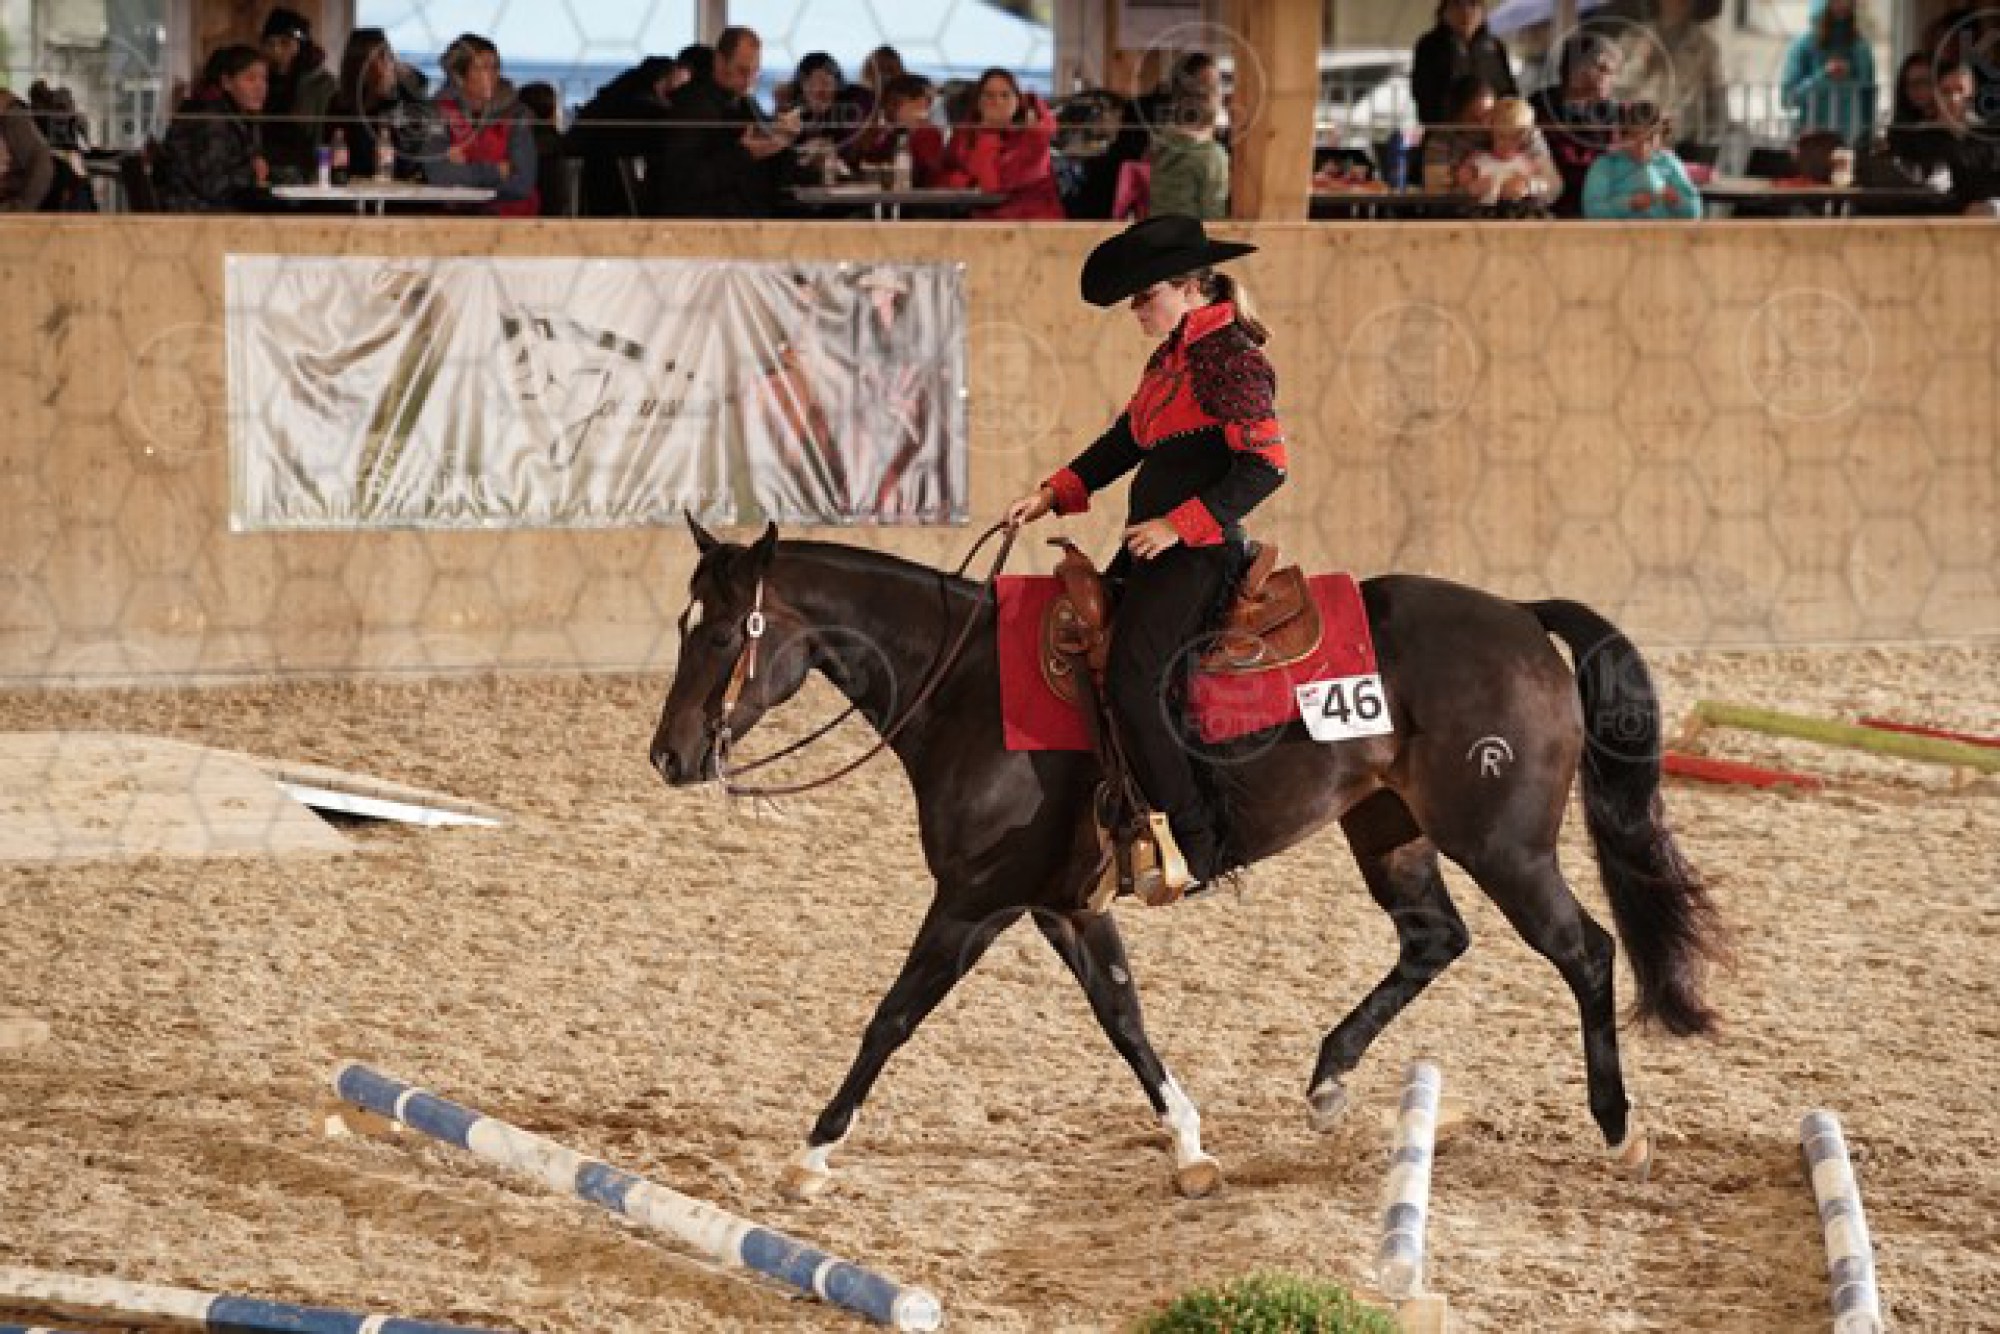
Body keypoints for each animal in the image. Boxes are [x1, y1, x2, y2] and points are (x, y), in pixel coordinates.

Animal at [649, 519, 1726, 1199]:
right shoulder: (1064, 905)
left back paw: (1621, 1128)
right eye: (681, 622)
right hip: (1388, 829)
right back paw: (1328, 1080)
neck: (962, 687)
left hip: (1500, 843)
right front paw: (1190, 1147)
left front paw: (812, 1153)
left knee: (1585, 951)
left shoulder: (972, 900)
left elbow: (892, 1017)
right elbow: (1123, 1017)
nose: (668, 754)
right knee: (1433, 938)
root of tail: (1520, 616)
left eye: (722, 631)